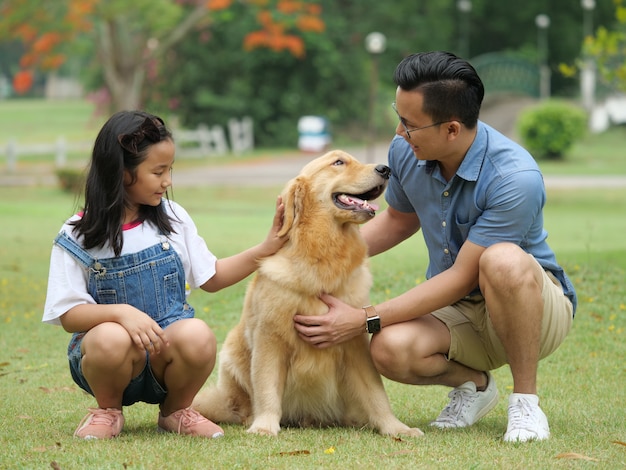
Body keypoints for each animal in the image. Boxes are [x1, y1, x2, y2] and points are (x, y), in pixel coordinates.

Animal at [193, 150, 422, 436]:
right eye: (338, 162)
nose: (385, 169)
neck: (323, 252)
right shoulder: (270, 338)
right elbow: (267, 387)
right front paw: (265, 426)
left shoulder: (355, 342)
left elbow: (376, 393)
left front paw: (396, 428)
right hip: (231, 352)